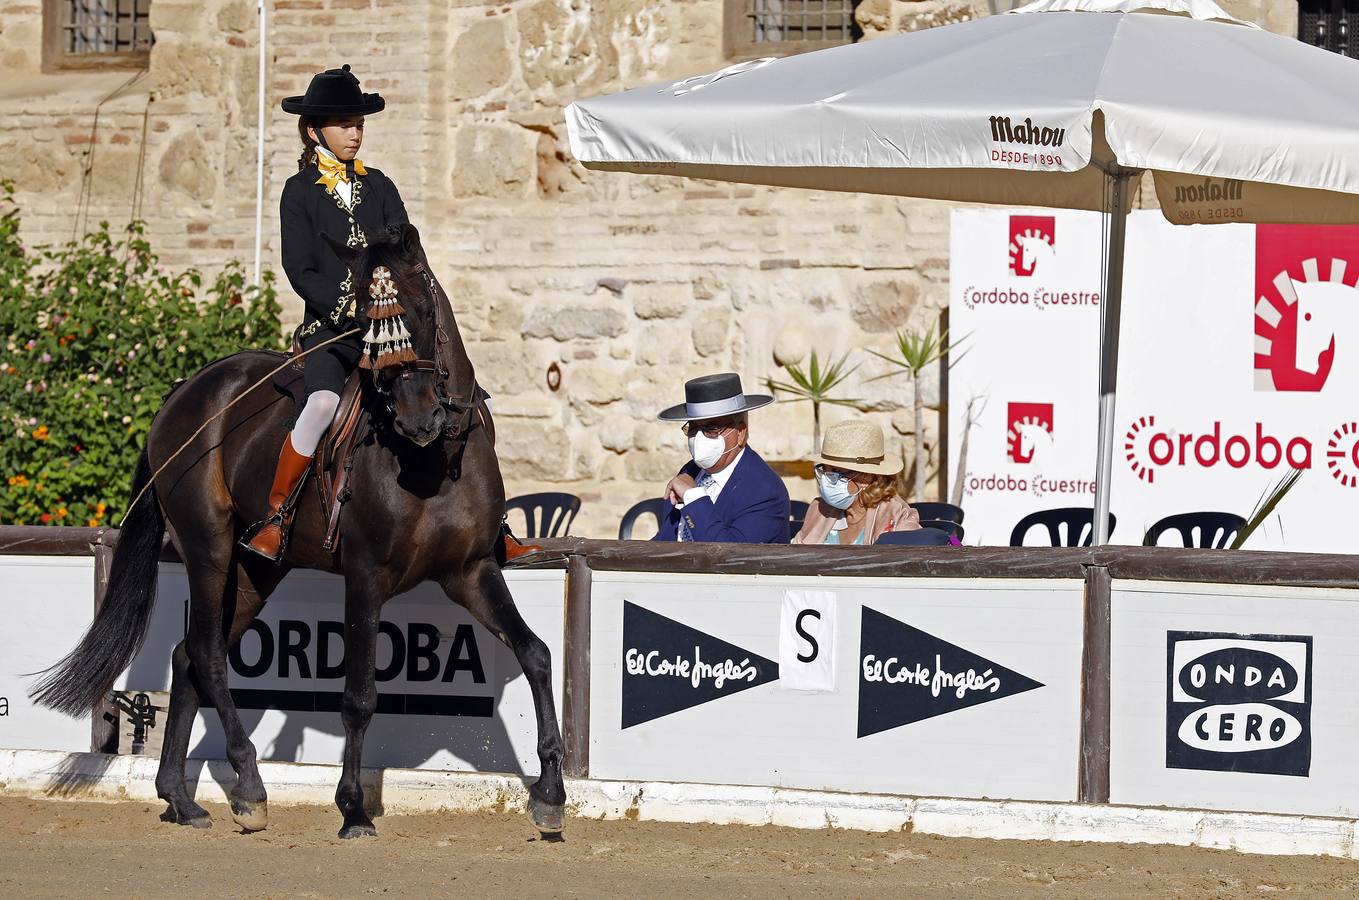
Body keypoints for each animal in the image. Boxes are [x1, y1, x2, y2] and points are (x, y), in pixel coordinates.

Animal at [31, 224, 565, 837]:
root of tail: (187, 389)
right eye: (370, 325)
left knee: (188, 657)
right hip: (210, 548)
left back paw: (181, 799)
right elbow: (359, 695)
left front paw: (551, 794)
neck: (431, 461)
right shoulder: (365, 577)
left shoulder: (470, 570)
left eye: (424, 310)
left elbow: (536, 653)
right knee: (208, 655)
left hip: (257, 571)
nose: (418, 418)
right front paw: (353, 808)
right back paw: (249, 788)